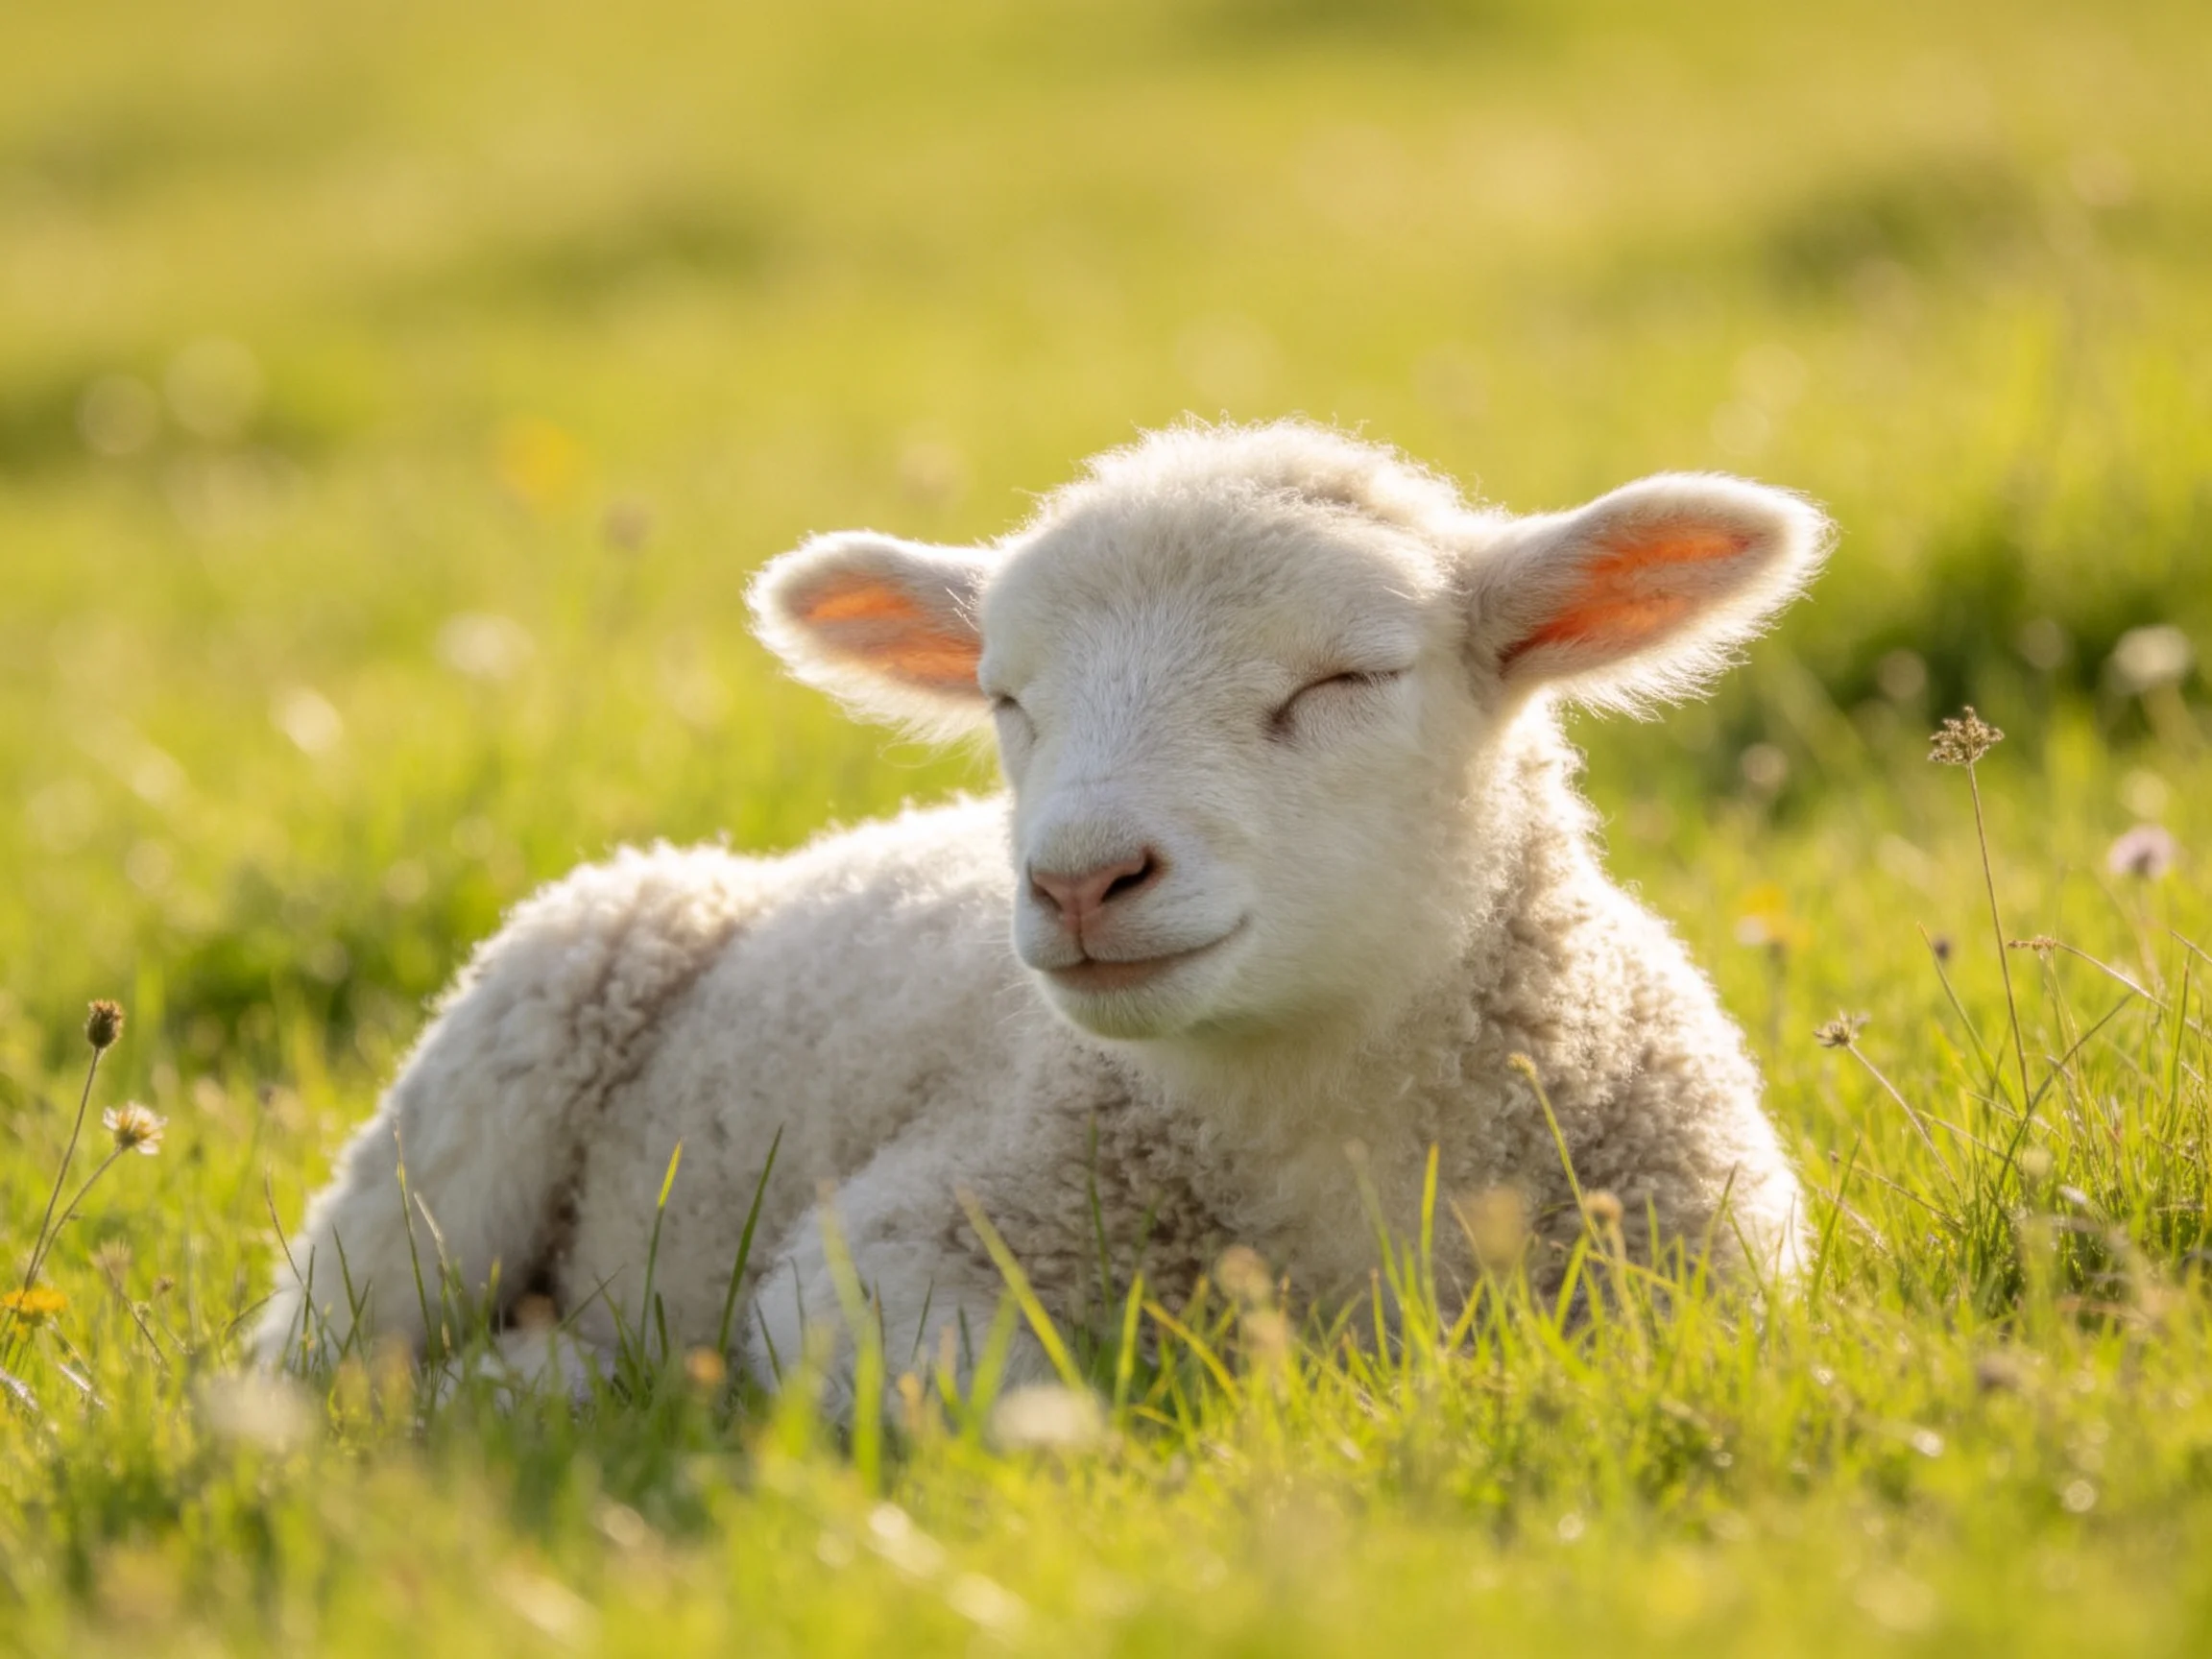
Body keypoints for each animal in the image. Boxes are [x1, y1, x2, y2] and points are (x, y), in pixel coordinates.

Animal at [254, 419, 1829, 1405]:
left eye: (1347, 680)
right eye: (1007, 698)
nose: (1079, 877)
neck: (1326, 1123)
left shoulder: (1709, 1277)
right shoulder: (891, 1239)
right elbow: (1021, 1399)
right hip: (472, 1105)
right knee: (311, 1373)